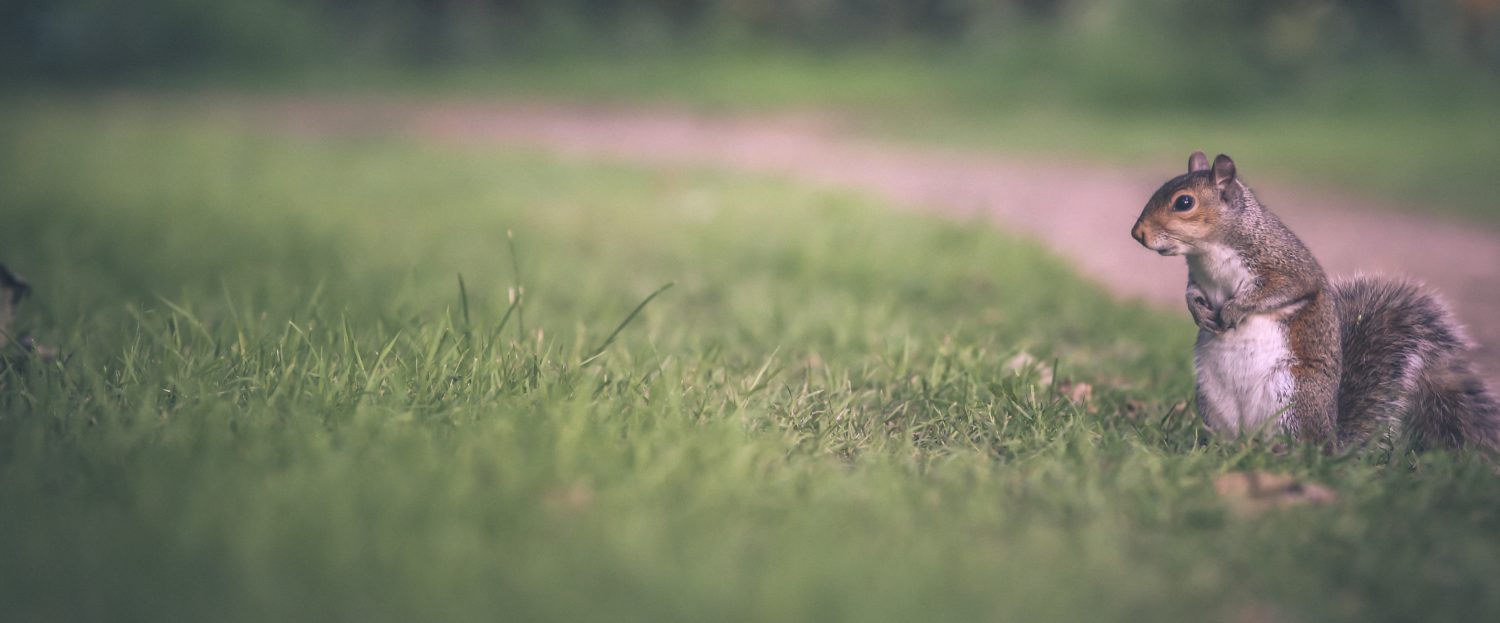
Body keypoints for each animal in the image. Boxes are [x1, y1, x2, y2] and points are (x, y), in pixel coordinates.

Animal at [1130, 151, 1500, 451]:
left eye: (1184, 203)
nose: (1138, 234)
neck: (1208, 250)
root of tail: (1331, 438)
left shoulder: (1285, 266)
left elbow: (1281, 290)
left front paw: (1235, 309)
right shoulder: (1198, 278)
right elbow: (1192, 292)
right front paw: (1197, 311)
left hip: (1292, 396)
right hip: (1212, 398)